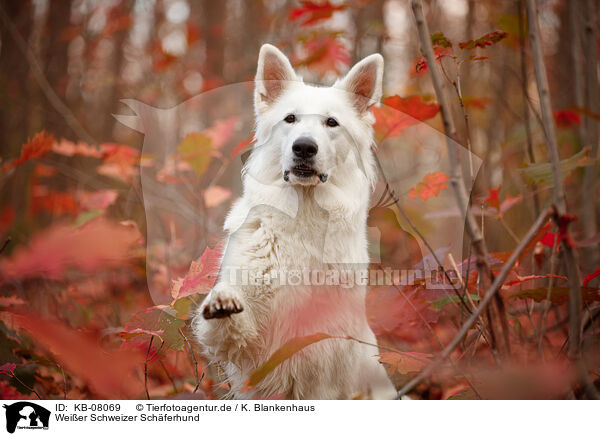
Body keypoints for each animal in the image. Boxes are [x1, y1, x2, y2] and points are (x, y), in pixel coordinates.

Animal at [192, 44, 396, 398]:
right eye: (290, 119)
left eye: (331, 123)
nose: (304, 147)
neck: (304, 212)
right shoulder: (249, 343)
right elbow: (226, 325)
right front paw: (222, 301)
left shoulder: (322, 355)